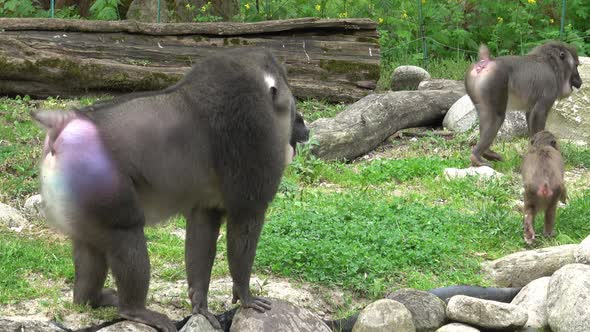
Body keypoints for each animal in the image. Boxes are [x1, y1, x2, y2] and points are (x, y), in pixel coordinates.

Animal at [31, 47, 310, 332]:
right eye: (292, 105)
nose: (303, 124)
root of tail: (63, 130)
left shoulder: (206, 205)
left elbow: (202, 234)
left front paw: (200, 304)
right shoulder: (252, 150)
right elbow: (244, 226)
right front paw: (246, 296)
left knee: (89, 250)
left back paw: (92, 299)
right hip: (109, 195)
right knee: (127, 235)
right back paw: (135, 310)